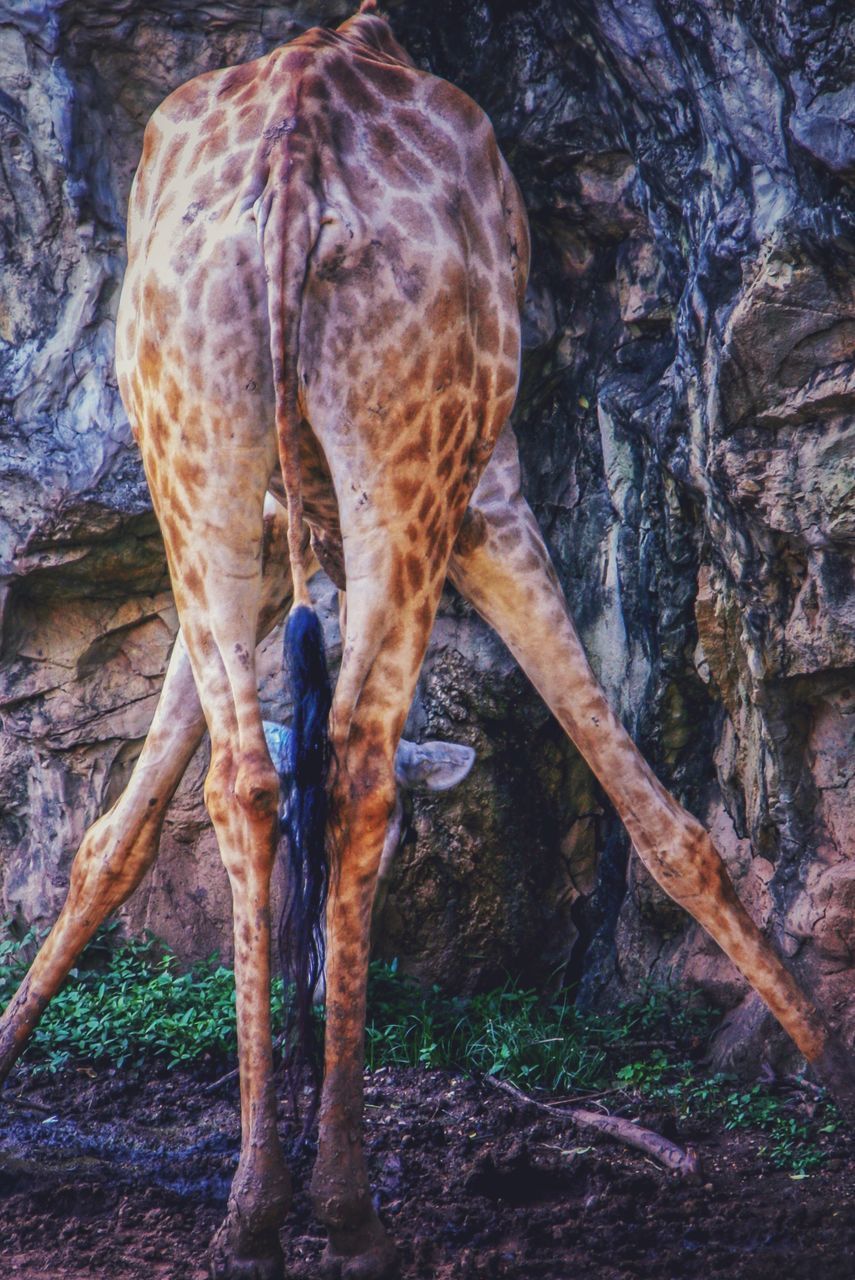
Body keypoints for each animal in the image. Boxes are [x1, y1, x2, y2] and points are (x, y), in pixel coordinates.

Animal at [1, 7, 855, 1280]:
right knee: (357, 762)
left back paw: (252, 1205)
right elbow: (666, 819)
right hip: (423, 447)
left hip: (192, 434)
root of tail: (295, 169)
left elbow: (117, 828)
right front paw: (833, 1073)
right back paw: (344, 1202)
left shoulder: (269, 522)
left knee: (245, 773)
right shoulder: (492, 492)